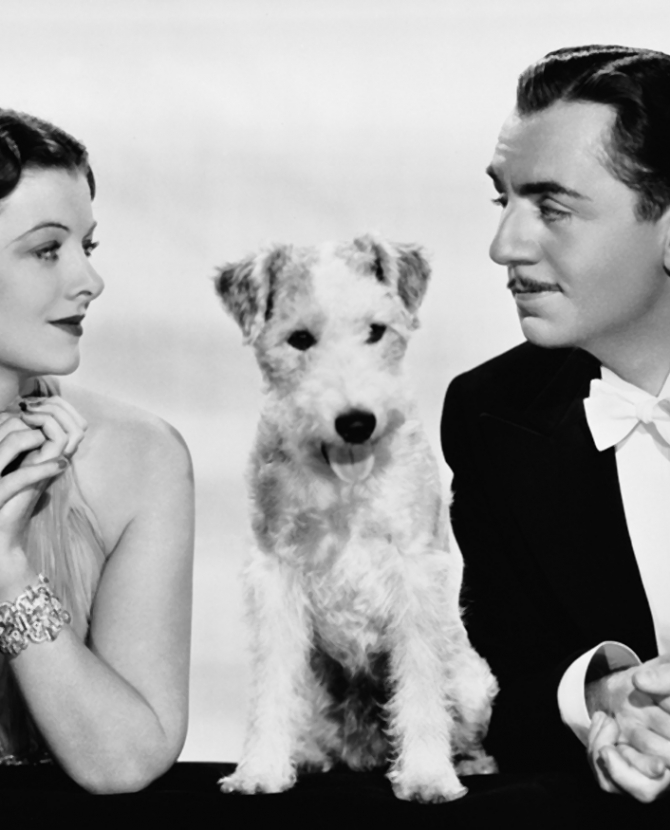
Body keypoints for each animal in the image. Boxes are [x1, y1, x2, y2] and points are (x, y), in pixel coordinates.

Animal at [215, 235, 497, 802]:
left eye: (376, 330)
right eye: (299, 338)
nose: (356, 423)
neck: (342, 485)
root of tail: (362, 749)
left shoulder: (414, 568)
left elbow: (420, 683)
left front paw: (427, 776)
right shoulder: (276, 569)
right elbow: (272, 683)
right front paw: (259, 771)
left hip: (474, 681)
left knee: (462, 726)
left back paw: (465, 763)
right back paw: (309, 756)